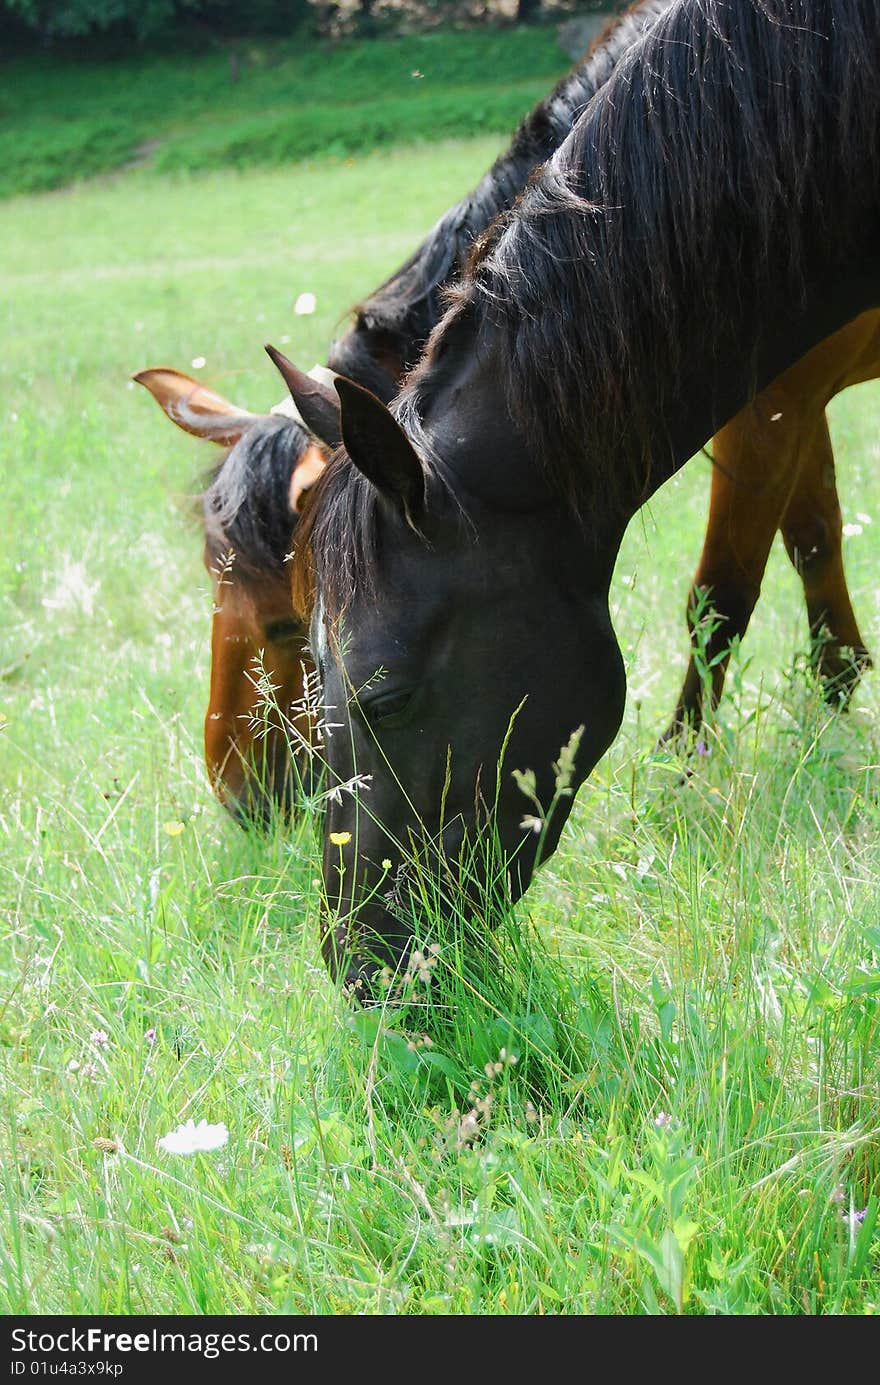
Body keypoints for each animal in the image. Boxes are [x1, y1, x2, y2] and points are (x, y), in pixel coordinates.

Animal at [292, 0, 880, 986]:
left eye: (387, 697)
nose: (358, 966)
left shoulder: (777, 401)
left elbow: (725, 595)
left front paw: (685, 775)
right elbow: (809, 549)